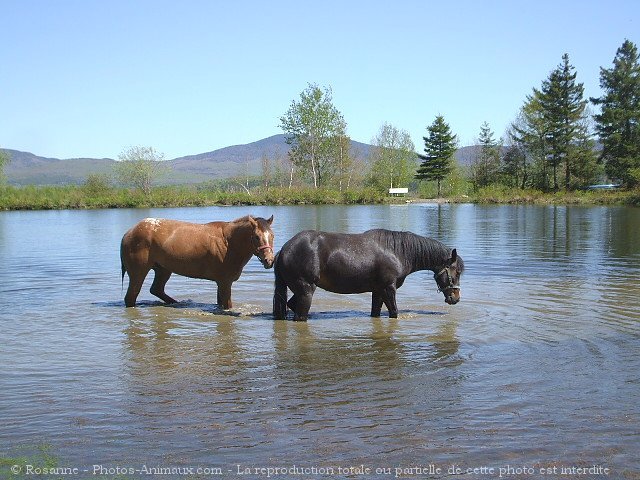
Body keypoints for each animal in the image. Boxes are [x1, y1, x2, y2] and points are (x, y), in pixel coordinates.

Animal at [119, 215, 274, 308]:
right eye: (256, 237)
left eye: (272, 235)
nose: (269, 260)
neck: (228, 242)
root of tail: (128, 233)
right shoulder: (225, 282)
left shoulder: (221, 283)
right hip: (138, 273)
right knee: (131, 297)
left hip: (163, 270)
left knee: (156, 289)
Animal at [272, 230, 462, 320]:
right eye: (457, 271)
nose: (455, 297)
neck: (397, 252)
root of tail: (283, 250)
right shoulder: (388, 289)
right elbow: (394, 312)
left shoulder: (378, 291)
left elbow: (375, 313)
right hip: (306, 290)